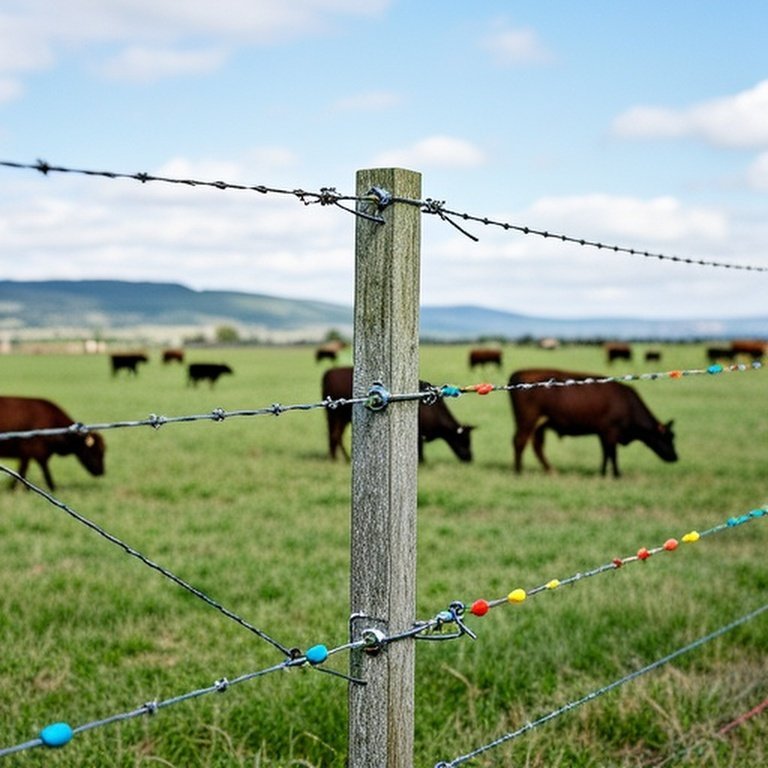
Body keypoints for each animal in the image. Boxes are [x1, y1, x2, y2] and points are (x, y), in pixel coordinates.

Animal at [321, 366, 473, 463]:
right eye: (464, 440)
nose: (470, 458)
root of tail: (329, 372)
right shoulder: (418, 433)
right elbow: (420, 451)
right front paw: (422, 462)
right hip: (335, 416)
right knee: (335, 435)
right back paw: (342, 458)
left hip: (339, 418)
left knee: (335, 436)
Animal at [508, 368, 677, 478]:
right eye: (667, 437)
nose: (675, 457)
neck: (628, 404)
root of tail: (519, 373)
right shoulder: (610, 431)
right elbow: (612, 454)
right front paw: (616, 474)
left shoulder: (603, 433)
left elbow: (605, 453)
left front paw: (602, 472)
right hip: (527, 420)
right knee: (520, 442)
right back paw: (518, 471)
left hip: (539, 425)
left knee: (536, 446)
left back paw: (550, 470)